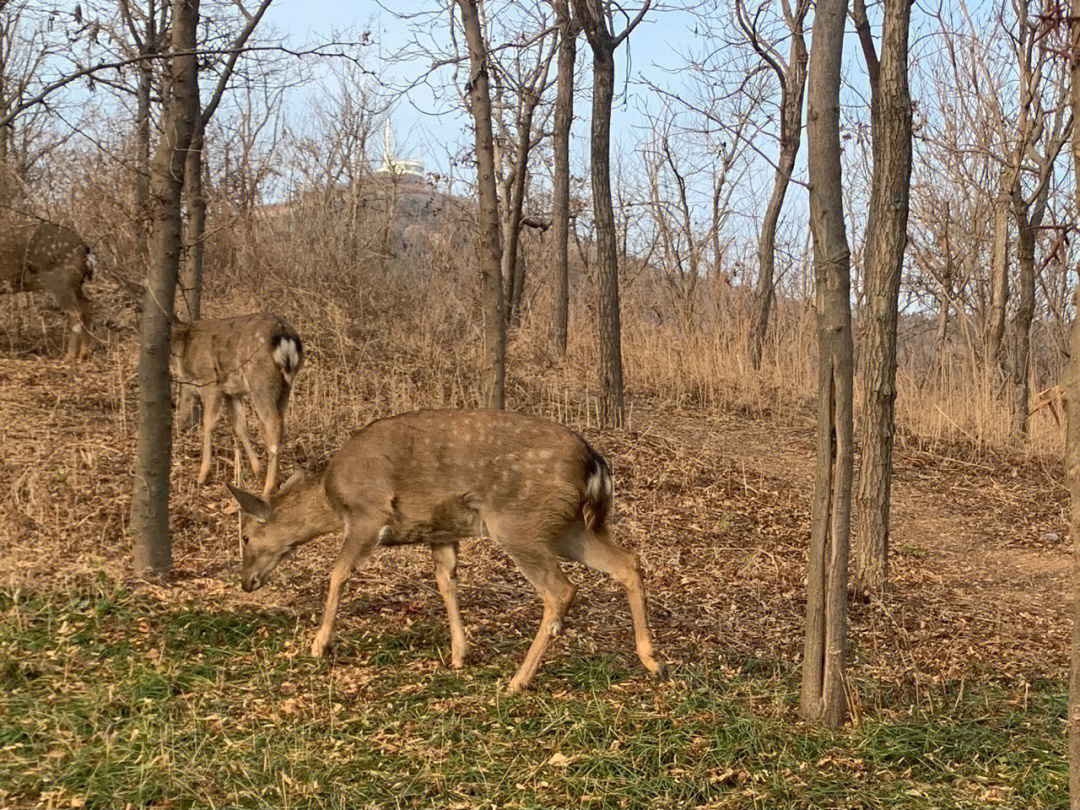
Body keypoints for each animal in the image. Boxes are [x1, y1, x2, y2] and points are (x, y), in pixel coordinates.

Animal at [0, 222, 93, 360]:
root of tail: (84, 248)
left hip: (59, 282)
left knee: (75, 312)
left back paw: (69, 356)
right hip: (75, 285)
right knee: (87, 305)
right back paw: (83, 354)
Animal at [171, 313, 304, 498]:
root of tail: (285, 336)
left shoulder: (210, 381)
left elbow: (208, 424)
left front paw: (202, 475)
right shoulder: (232, 392)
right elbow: (239, 426)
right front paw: (257, 468)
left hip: (261, 381)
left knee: (273, 423)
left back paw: (268, 487)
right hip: (285, 385)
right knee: (281, 421)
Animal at [228, 408, 665, 695]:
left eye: (245, 536)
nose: (246, 582)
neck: (334, 500)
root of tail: (595, 464)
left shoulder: (369, 515)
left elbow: (338, 573)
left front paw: (319, 645)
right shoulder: (441, 531)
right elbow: (446, 581)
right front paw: (459, 653)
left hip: (518, 523)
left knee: (561, 590)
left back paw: (518, 680)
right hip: (566, 526)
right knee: (627, 562)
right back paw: (652, 660)